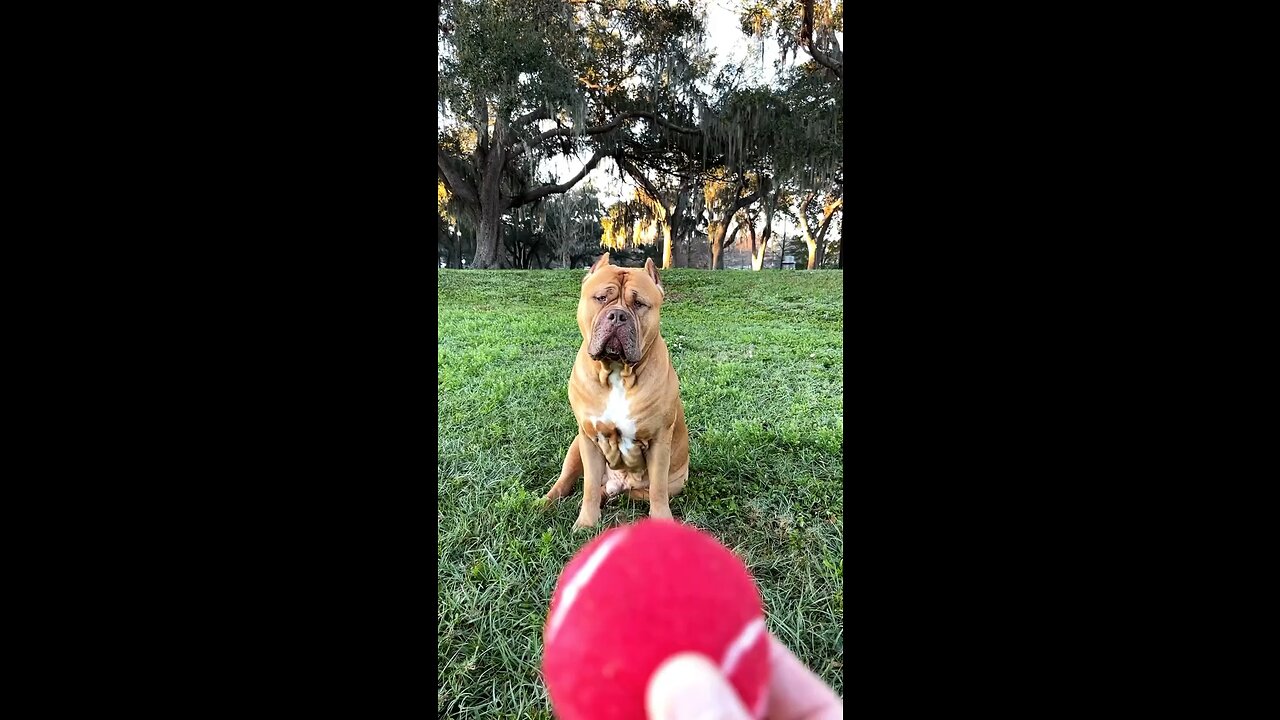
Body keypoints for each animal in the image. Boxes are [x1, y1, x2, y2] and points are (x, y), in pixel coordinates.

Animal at [540, 252, 691, 527]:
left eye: (639, 303)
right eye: (601, 298)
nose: (618, 316)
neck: (618, 372)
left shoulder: (659, 441)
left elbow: (658, 490)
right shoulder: (589, 439)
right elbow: (588, 486)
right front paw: (586, 523)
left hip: (674, 482)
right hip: (575, 446)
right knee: (567, 481)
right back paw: (543, 503)